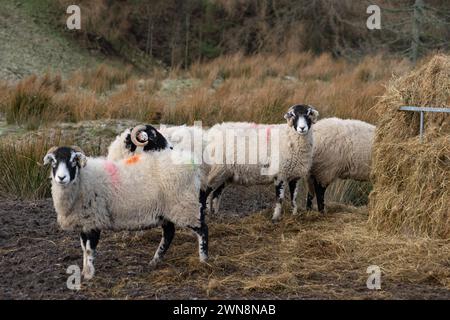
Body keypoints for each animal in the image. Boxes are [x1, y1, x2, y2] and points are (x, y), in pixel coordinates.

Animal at [44, 145, 209, 280]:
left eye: (73, 161)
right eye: (54, 162)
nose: (61, 178)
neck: (83, 180)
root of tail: (192, 162)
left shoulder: (94, 220)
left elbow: (90, 250)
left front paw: (89, 274)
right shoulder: (85, 222)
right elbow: (84, 248)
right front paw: (84, 271)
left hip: (184, 205)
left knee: (202, 229)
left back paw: (204, 260)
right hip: (168, 210)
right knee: (169, 233)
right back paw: (155, 261)